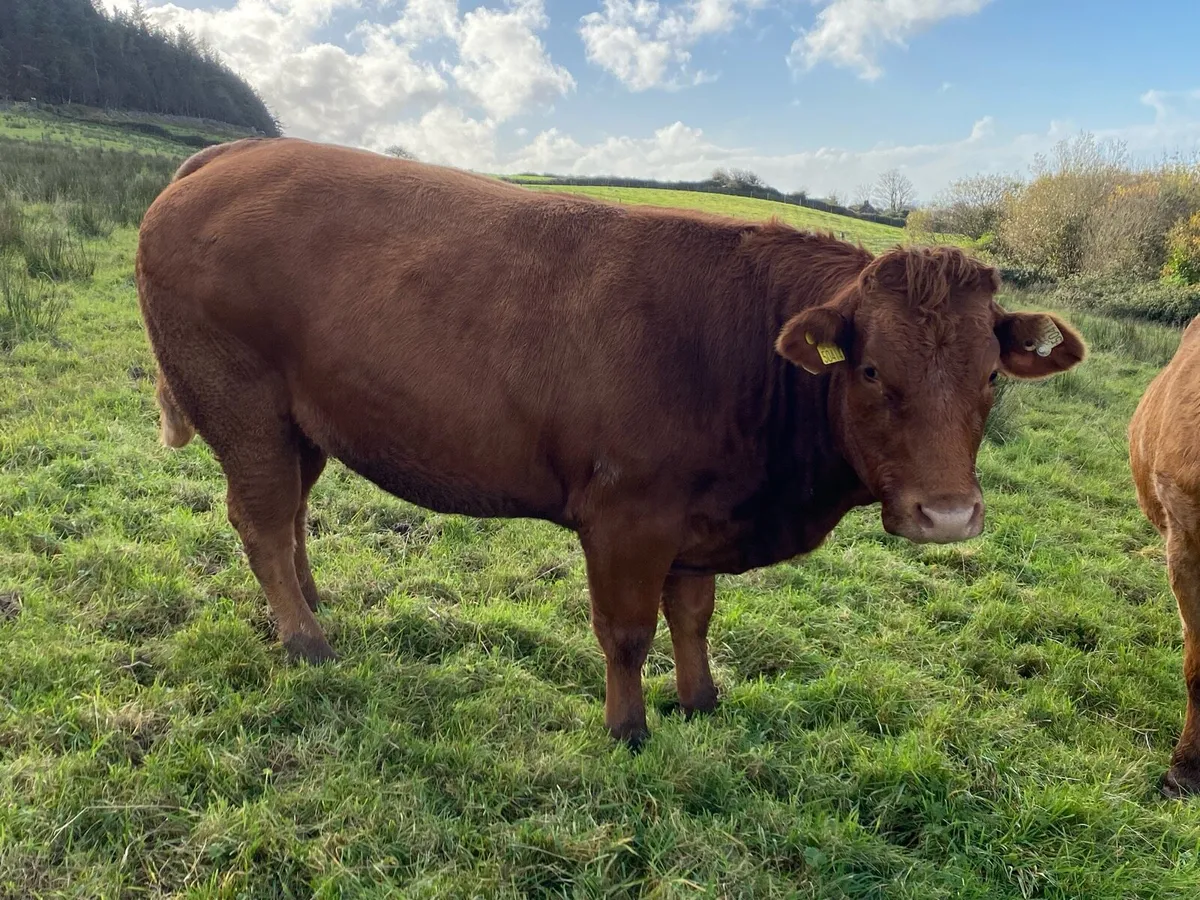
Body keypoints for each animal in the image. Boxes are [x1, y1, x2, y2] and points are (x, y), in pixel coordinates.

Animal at [135, 137, 1086, 747]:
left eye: (991, 376)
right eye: (872, 370)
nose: (947, 516)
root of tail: (227, 155)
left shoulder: (699, 520)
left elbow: (693, 615)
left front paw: (701, 701)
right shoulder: (627, 516)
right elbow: (626, 629)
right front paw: (627, 729)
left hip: (302, 423)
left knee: (291, 514)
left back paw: (312, 603)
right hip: (243, 405)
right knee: (260, 519)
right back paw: (305, 640)